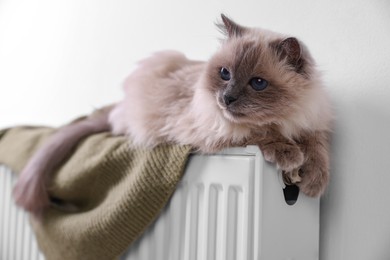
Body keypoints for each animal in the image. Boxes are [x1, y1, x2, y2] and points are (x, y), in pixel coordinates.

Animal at [12, 15, 332, 216]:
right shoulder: (214, 129)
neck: (285, 117)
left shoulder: (310, 123)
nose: (226, 98)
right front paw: (290, 158)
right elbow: (259, 132)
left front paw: (313, 182)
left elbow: (317, 148)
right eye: (225, 74)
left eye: (258, 83)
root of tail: (120, 106)